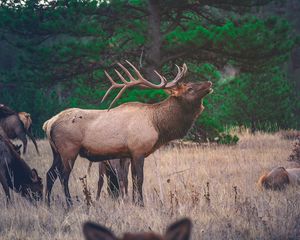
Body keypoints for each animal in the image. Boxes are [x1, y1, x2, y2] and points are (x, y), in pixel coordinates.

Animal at [44, 61, 213, 206]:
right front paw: (141, 204)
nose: (209, 83)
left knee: (50, 173)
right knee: (63, 176)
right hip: (69, 149)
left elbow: (130, 179)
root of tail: (49, 123)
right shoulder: (138, 150)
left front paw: (134, 202)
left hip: (56, 152)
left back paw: (47, 203)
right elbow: (139, 179)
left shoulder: (129, 154)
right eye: (189, 88)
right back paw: (69, 204)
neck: (157, 125)